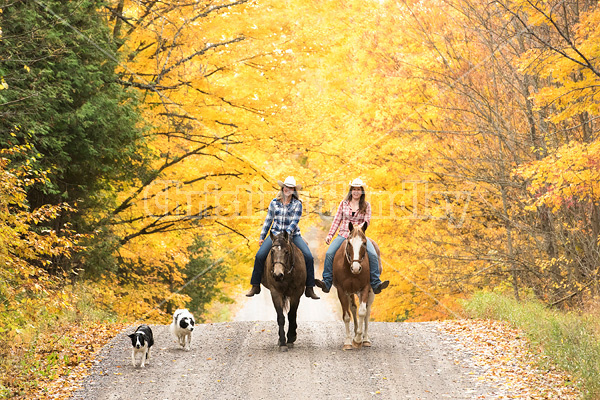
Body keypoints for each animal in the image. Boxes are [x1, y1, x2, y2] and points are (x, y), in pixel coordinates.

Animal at [330, 222, 382, 350]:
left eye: (364, 243)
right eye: (349, 243)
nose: (356, 268)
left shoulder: (365, 289)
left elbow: (362, 312)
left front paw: (358, 340)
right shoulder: (342, 291)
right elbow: (347, 316)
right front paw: (348, 342)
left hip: (371, 292)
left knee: (367, 312)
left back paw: (366, 339)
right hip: (351, 292)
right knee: (353, 308)